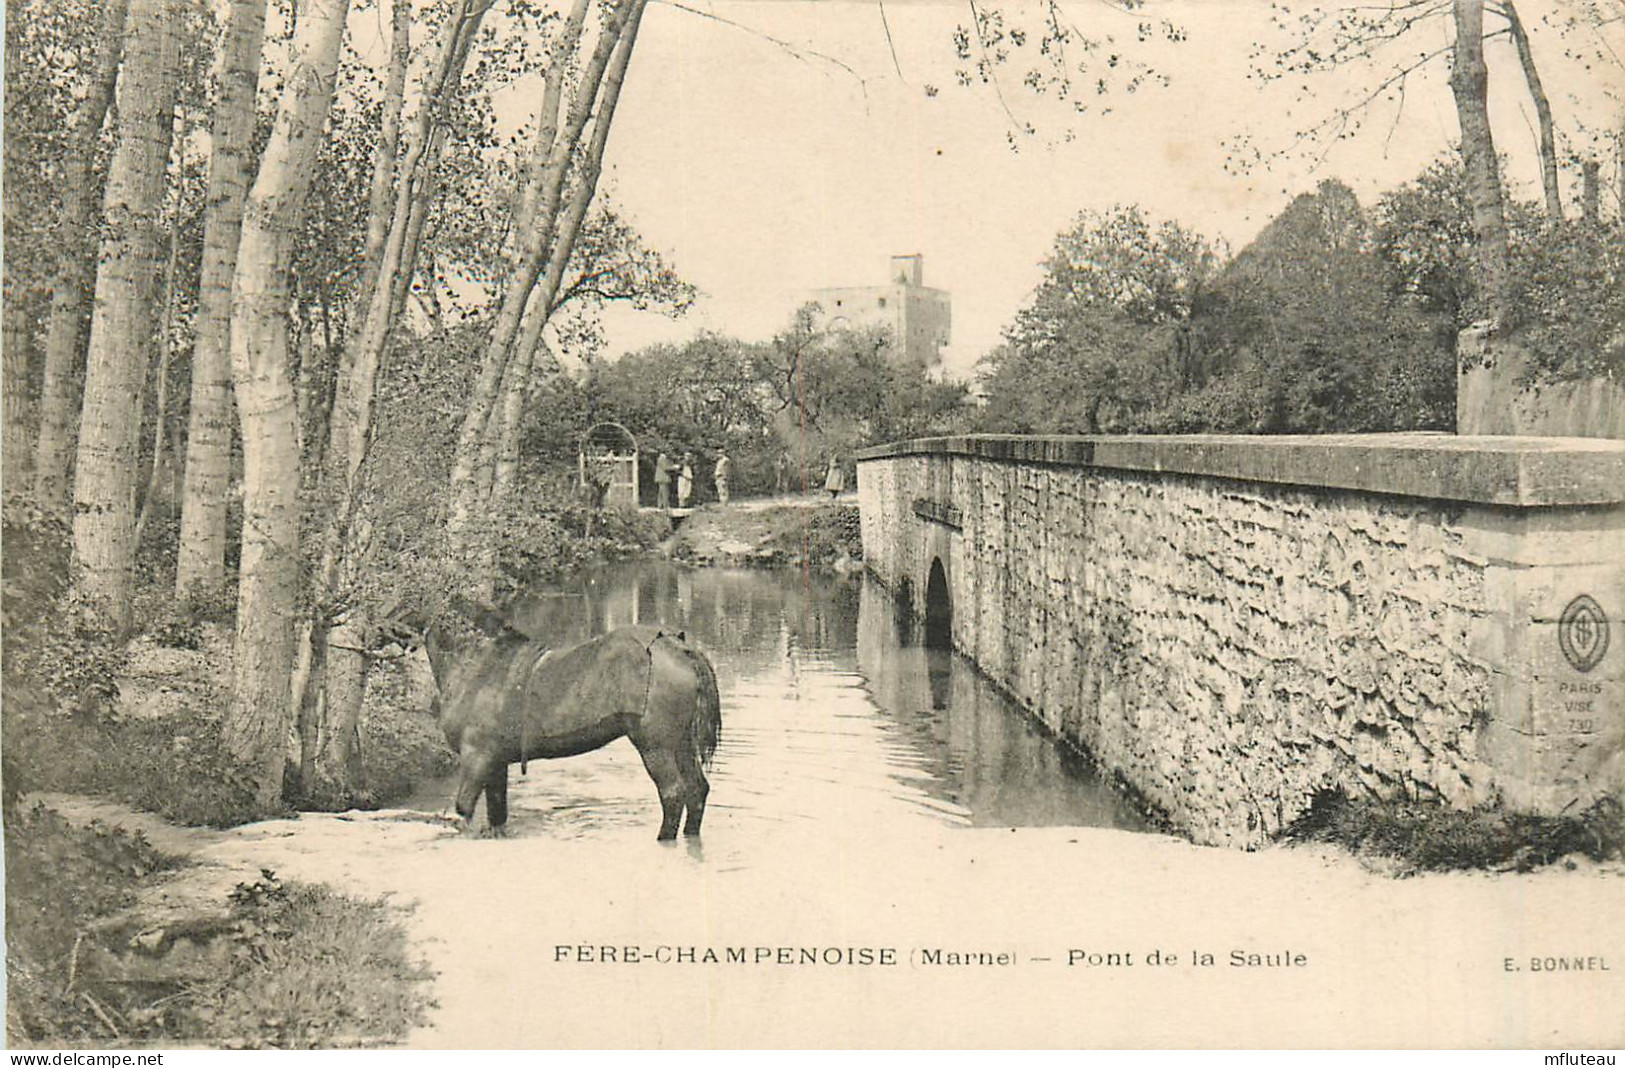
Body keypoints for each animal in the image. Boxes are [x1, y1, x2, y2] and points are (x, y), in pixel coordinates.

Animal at [425, 607, 718, 838]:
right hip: (681, 744)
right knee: (697, 790)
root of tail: (681, 650)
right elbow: (497, 816)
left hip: (656, 747)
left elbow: (463, 811)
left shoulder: (477, 757)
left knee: (673, 794)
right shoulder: (495, 763)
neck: (475, 664)